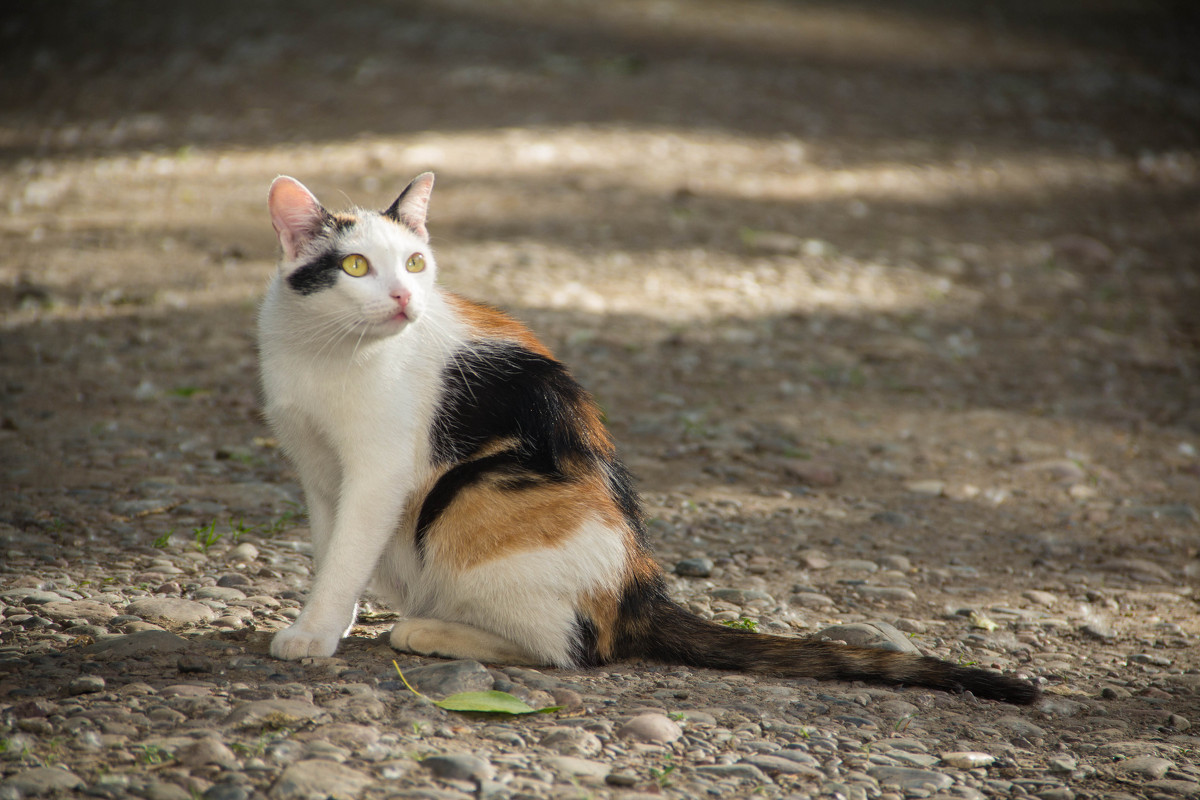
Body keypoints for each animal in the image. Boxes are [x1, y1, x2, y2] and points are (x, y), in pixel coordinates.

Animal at [260, 173, 1041, 705]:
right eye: (355, 267)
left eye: (416, 264)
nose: (404, 299)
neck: (324, 355)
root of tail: (640, 588)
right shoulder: (318, 471)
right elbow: (333, 550)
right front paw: (331, 619)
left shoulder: (380, 473)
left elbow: (347, 553)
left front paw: (312, 634)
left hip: (474, 496)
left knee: (573, 650)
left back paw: (431, 630)